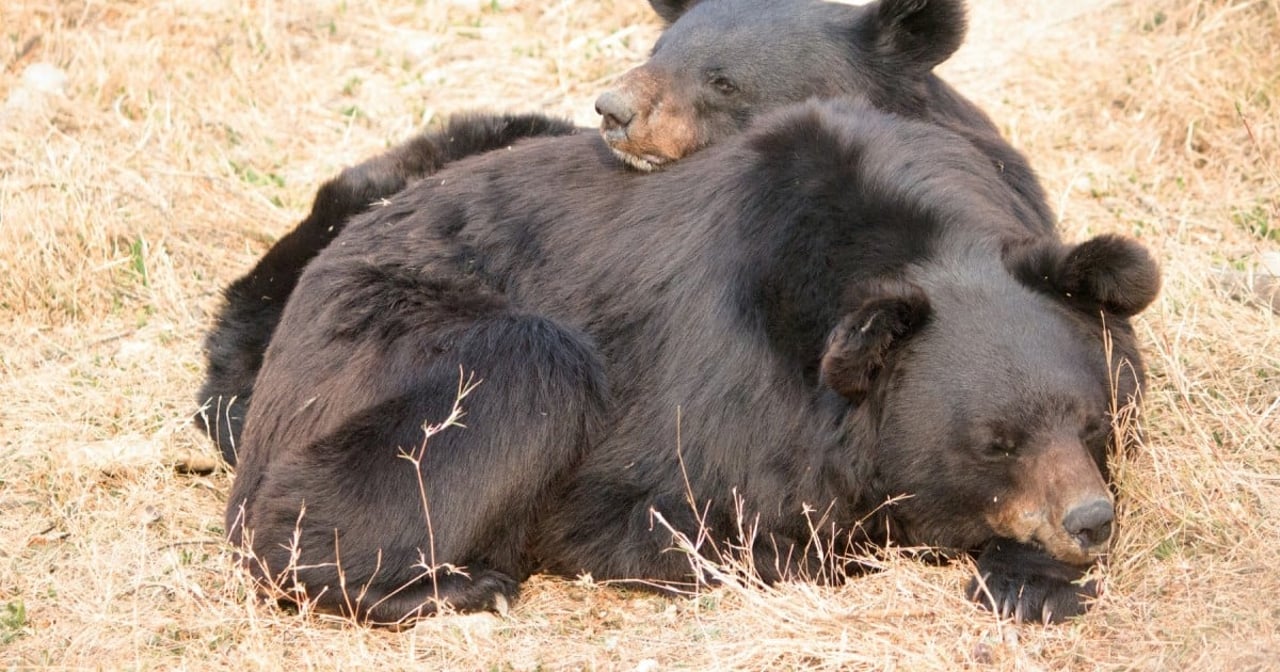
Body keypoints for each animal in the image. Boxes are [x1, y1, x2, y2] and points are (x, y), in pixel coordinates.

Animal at [227, 96, 1162, 627]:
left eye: (1091, 423)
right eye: (994, 442)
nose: (1090, 520)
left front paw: (1034, 580)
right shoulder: (721, 397)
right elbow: (670, 514)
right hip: (395, 341)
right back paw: (445, 588)